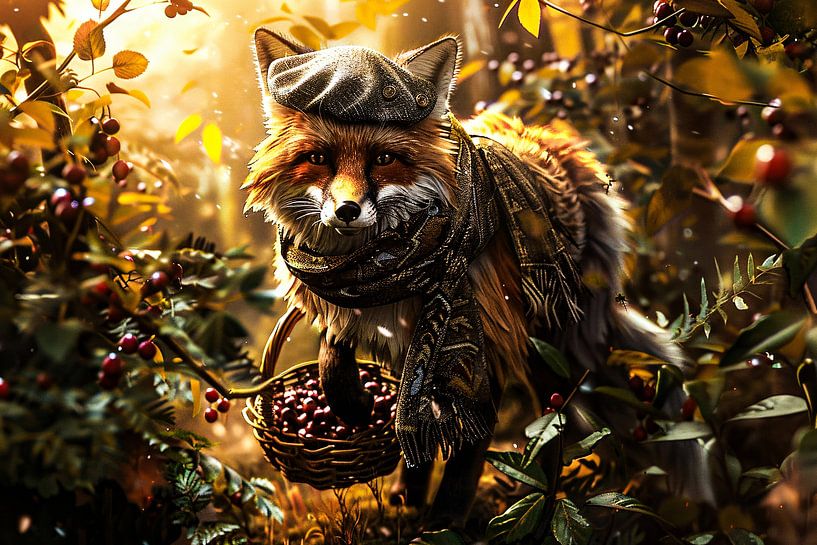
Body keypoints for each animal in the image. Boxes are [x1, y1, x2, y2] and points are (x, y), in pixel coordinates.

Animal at [243, 31, 710, 534]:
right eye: (319, 159)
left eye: (384, 159)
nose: (347, 211)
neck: (389, 268)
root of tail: (562, 144)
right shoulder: (358, 305)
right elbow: (342, 364)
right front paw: (364, 422)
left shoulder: (485, 336)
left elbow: (468, 441)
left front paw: (443, 524)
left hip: (548, 343)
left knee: (557, 419)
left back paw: (543, 497)